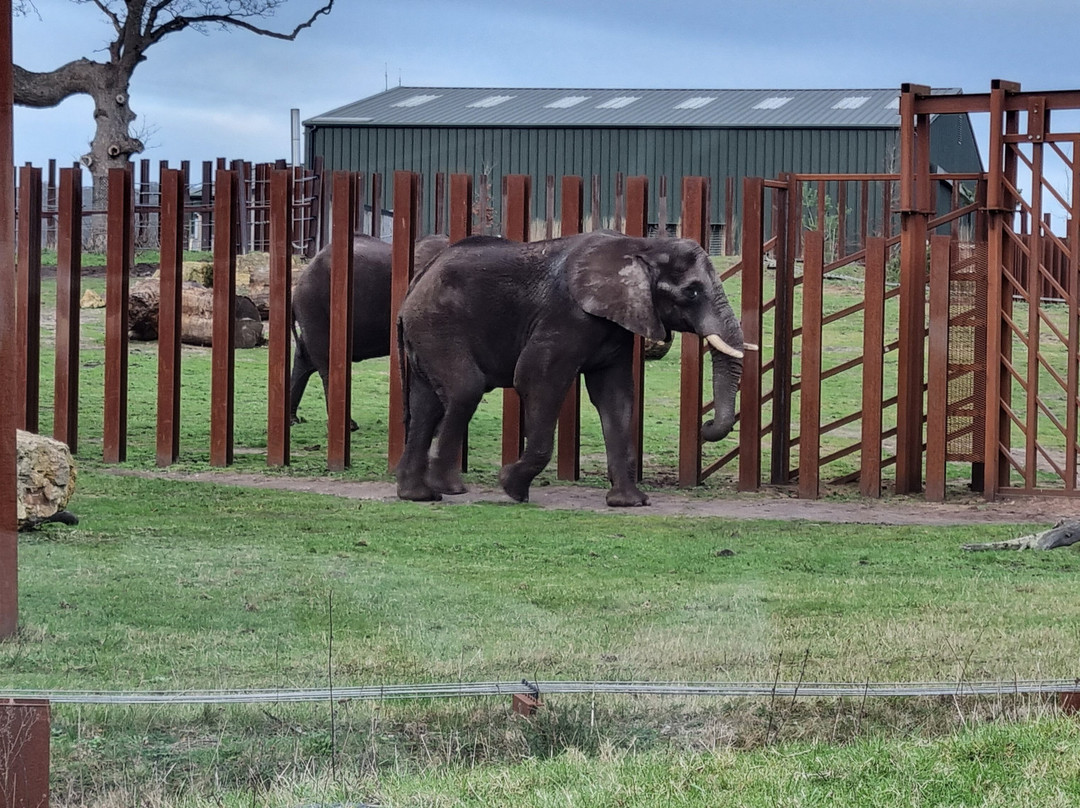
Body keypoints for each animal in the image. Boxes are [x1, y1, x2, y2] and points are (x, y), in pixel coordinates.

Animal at [397, 229, 751, 505]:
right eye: (692, 291)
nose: (705, 425)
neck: (642, 245)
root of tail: (417, 279)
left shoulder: (618, 322)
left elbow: (615, 396)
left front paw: (629, 502)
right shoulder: (566, 316)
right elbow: (535, 378)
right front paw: (512, 487)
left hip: (426, 331)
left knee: (426, 404)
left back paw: (418, 495)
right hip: (438, 324)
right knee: (465, 390)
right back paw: (449, 488)